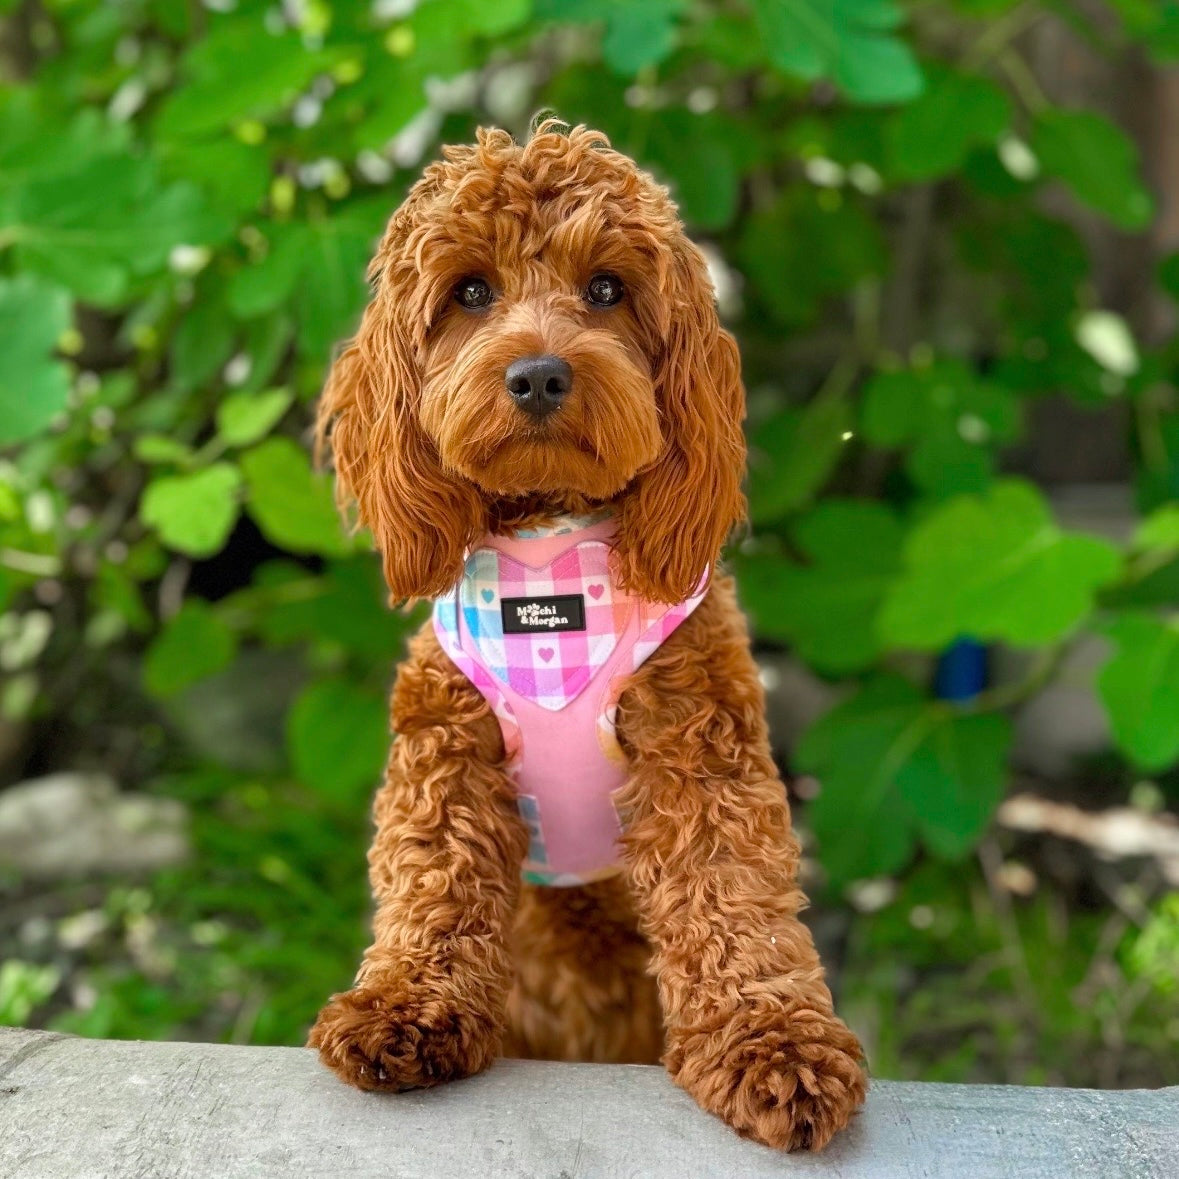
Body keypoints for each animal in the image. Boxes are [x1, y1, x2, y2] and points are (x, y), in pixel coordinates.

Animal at [308, 122, 872, 1150]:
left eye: (607, 288)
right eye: (470, 292)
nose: (538, 373)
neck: (549, 559)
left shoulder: (700, 750)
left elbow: (730, 893)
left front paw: (771, 1043)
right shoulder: (446, 751)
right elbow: (432, 877)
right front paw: (405, 1004)